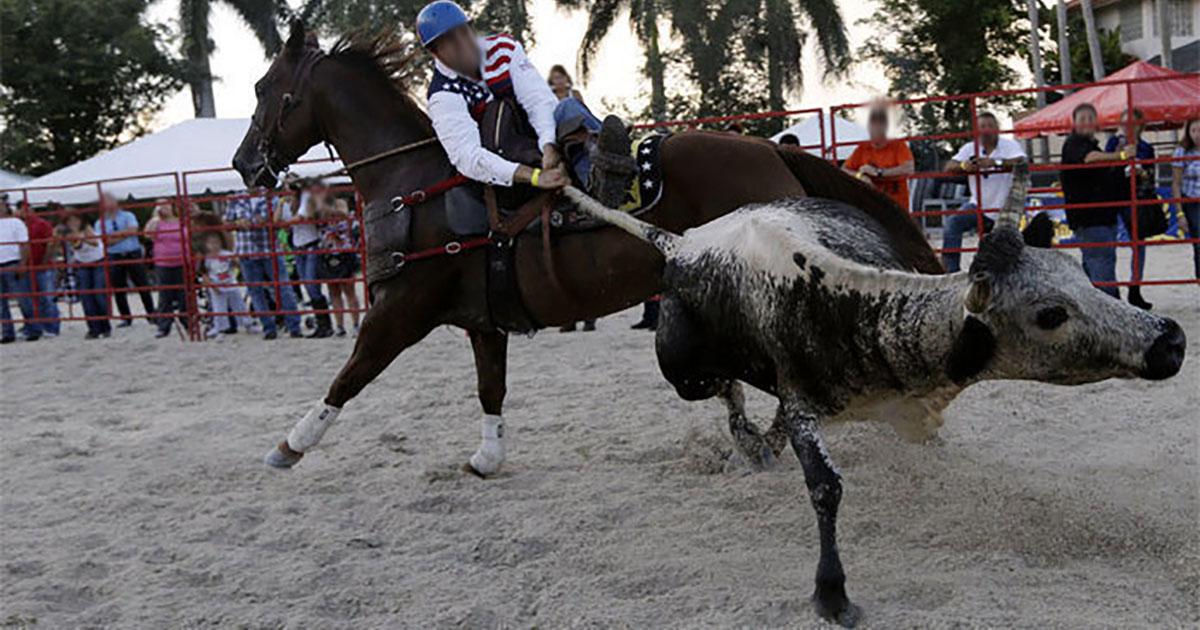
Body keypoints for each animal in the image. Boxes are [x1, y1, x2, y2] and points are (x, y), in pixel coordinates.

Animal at [229, 22, 931, 477]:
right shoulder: (484, 323)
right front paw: (488, 456)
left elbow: (350, 375)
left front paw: (289, 445)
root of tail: (772, 151)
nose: (243, 164)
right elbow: (490, 388)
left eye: (264, 88)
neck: (417, 182)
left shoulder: (400, 310)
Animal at [561, 165, 1180, 624]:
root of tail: (686, 241)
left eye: (1081, 275)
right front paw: (832, 595)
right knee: (725, 391)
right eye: (1050, 314)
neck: (856, 307)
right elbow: (825, 487)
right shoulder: (805, 407)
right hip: (685, 372)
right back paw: (747, 443)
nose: (1170, 340)